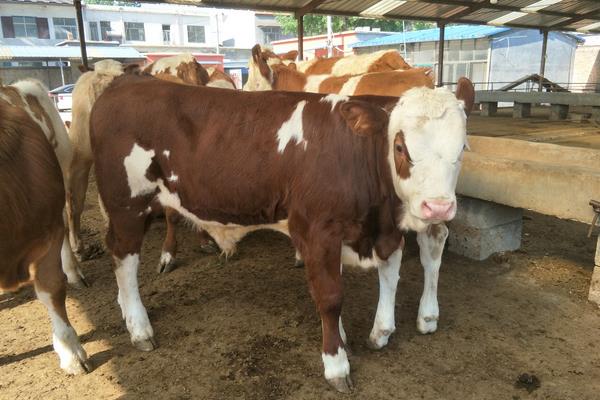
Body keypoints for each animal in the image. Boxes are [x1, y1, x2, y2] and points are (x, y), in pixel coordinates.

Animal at [89, 73, 474, 392]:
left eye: (463, 148)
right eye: (400, 147)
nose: (438, 207)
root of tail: (127, 81)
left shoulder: (384, 231)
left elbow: (389, 276)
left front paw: (378, 331)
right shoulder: (318, 231)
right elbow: (330, 296)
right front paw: (336, 364)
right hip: (126, 205)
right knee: (124, 259)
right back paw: (139, 326)